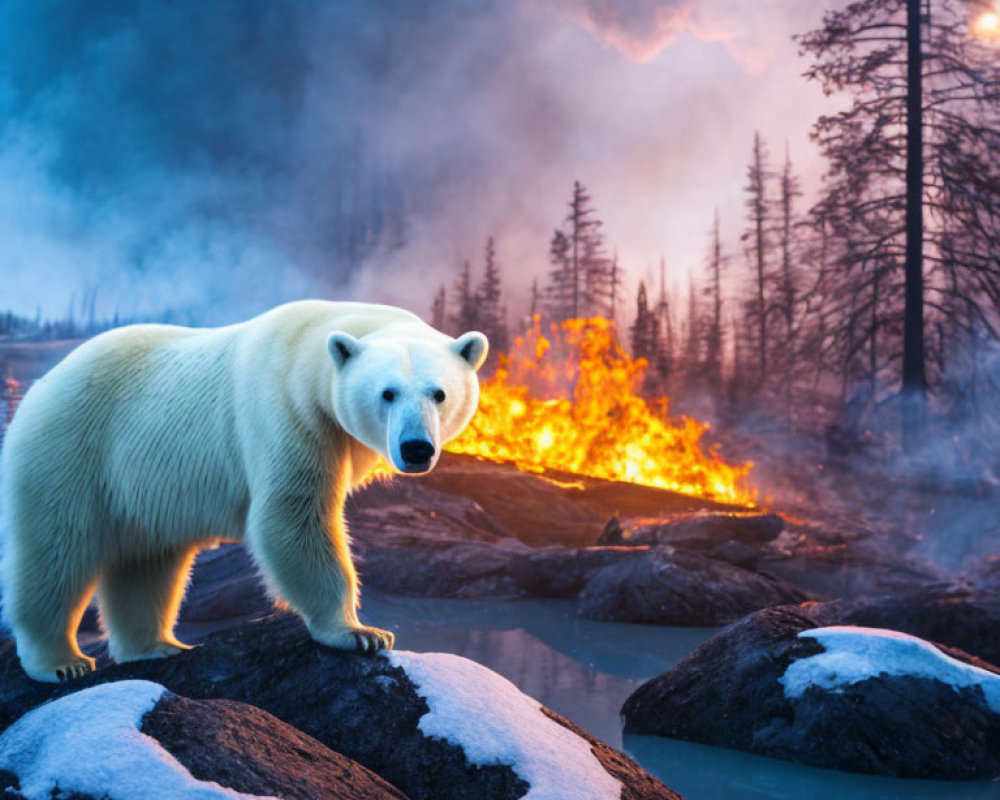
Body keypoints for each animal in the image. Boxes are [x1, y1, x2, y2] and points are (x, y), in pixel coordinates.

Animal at [0, 300, 488, 680]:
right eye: (387, 393)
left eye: (439, 393)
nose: (417, 448)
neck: (311, 349)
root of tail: (42, 383)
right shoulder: (286, 411)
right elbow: (292, 516)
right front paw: (359, 633)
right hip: (72, 448)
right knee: (57, 551)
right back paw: (62, 660)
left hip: (142, 485)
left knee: (148, 560)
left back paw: (155, 645)